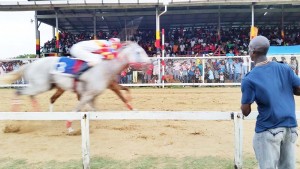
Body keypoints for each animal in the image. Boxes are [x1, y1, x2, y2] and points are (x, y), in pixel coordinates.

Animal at [0, 42, 150, 133]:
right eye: (138, 52)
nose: (149, 62)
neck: (105, 68)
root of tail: (30, 64)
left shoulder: (93, 95)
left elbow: (95, 110)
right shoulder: (87, 94)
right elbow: (77, 109)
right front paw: (70, 128)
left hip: (46, 85)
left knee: (32, 95)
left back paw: (39, 114)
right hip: (41, 85)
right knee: (18, 92)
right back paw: (13, 121)